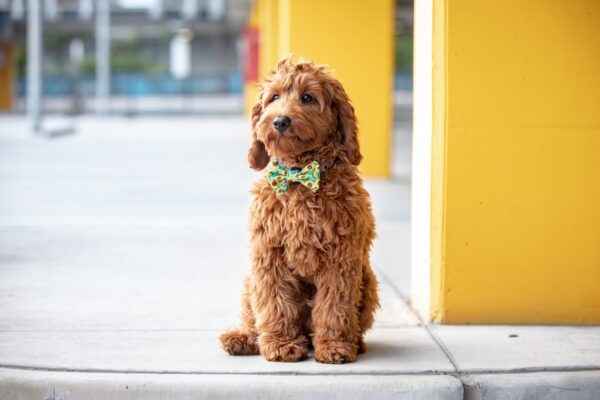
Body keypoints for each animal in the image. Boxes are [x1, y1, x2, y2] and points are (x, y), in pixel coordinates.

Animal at [220, 56, 380, 366]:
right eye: (274, 97)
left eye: (307, 98)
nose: (280, 120)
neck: (298, 176)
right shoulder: (270, 255)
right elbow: (275, 303)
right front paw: (281, 344)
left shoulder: (341, 259)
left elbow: (335, 306)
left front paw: (334, 346)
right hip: (250, 281)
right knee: (253, 318)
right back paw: (243, 338)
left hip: (368, 281)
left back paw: (354, 342)